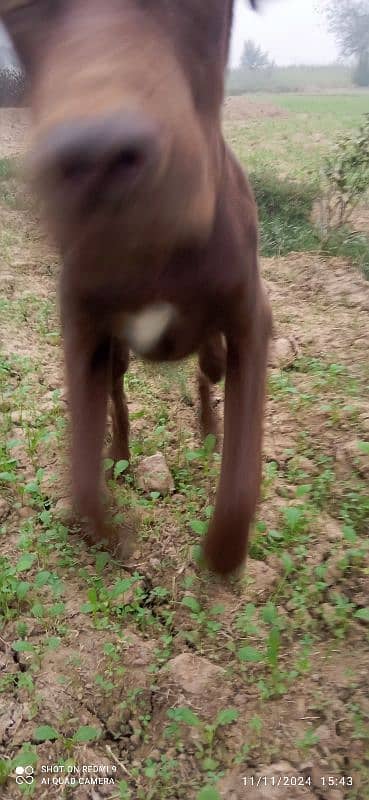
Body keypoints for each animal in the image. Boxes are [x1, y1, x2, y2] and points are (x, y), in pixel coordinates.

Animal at [1, 1, 272, 576]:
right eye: (21, 11)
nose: (95, 157)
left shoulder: (251, 320)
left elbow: (241, 486)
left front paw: (218, 561)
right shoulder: (83, 327)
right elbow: (83, 482)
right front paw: (116, 538)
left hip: (212, 347)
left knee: (207, 375)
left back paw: (208, 433)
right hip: (116, 356)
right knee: (119, 401)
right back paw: (122, 458)